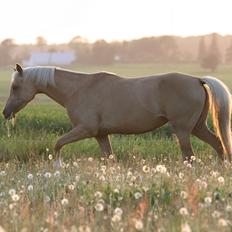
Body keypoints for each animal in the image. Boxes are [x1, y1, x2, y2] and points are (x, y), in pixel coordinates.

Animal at [2, 64, 232, 163]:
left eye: (15, 87)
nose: (5, 113)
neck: (78, 89)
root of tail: (197, 80)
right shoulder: (101, 135)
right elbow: (109, 158)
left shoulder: (86, 129)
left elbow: (58, 144)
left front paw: (57, 164)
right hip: (197, 127)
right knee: (218, 144)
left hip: (183, 130)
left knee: (189, 156)